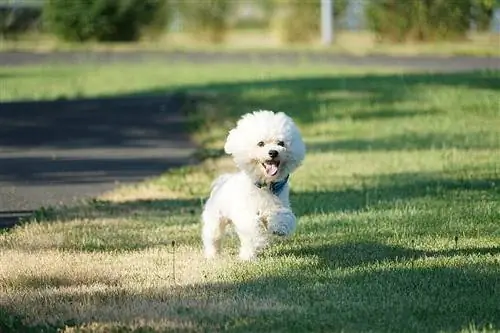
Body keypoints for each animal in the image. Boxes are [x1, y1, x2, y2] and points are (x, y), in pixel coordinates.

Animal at [200, 109, 304, 260]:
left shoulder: (279, 203)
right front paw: (254, 248)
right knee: (213, 237)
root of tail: (223, 182)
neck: (265, 186)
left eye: (281, 143)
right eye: (260, 143)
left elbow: (282, 215)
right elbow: (252, 231)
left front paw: (280, 227)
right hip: (215, 219)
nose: (273, 152)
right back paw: (213, 255)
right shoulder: (246, 214)